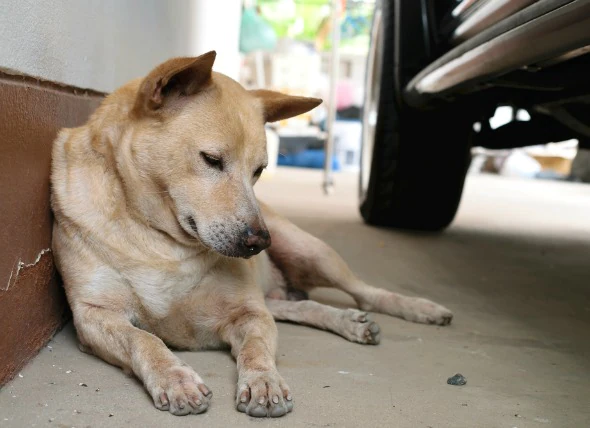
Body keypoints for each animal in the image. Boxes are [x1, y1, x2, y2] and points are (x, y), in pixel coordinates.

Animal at [51, 51, 456, 418]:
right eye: (212, 160)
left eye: (259, 170)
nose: (261, 243)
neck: (160, 241)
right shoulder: (93, 316)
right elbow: (143, 339)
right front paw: (174, 379)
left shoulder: (249, 313)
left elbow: (257, 350)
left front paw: (264, 382)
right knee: (296, 306)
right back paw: (345, 320)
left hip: (312, 251)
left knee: (365, 293)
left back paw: (417, 309)